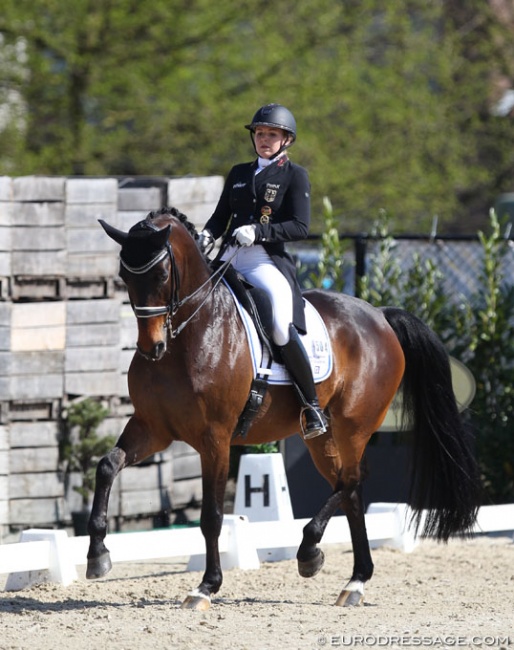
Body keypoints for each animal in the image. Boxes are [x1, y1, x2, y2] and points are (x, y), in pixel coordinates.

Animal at [88, 206, 480, 608]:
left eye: (162, 274)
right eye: (124, 275)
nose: (151, 348)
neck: (192, 333)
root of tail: (380, 315)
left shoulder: (215, 439)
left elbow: (212, 516)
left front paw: (206, 586)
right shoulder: (153, 428)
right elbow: (106, 467)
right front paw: (98, 555)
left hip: (354, 425)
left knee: (353, 480)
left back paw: (310, 551)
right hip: (322, 437)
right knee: (350, 489)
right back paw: (354, 580)